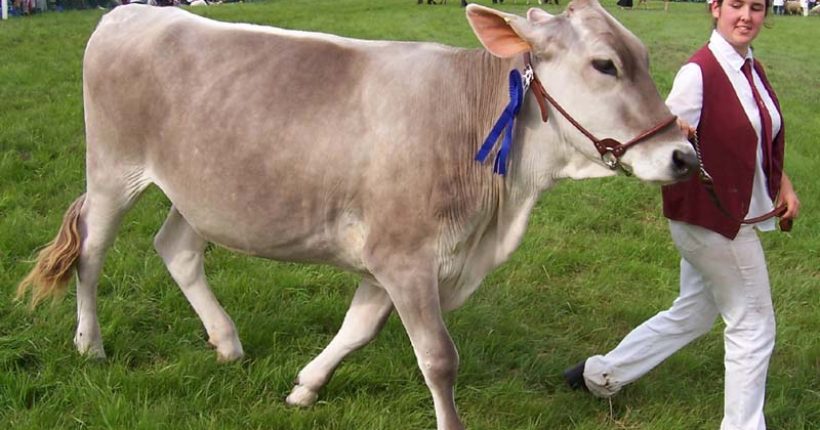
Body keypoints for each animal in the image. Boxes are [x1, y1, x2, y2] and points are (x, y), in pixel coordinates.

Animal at [17, 2, 697, 429]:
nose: (684, 155)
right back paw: (90, 344)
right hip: (112, 170)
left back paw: (227, 343)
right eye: (605, 64)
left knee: (176, 248)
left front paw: (304, 387)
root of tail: (132, 11)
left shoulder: (392, 256)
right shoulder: (405, 255)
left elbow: (359, 329)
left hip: (206, 189)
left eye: (642, 56)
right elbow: (439, 358)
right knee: (91, 252)